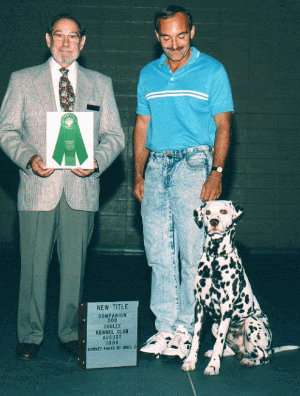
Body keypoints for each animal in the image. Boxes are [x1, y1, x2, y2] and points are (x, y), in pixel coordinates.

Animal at [182, 201, 298, 374]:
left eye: (223, 211)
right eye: (207, 212)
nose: (214, 221)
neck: (215, 259)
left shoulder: (226, 308)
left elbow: (219, 343)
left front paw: (213, 365)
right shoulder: (200, 307)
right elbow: (196, 338)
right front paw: (190, 361)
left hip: (251, 323)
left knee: (264, 356)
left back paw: (250, 361)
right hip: (215, 325)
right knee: (232, 350)